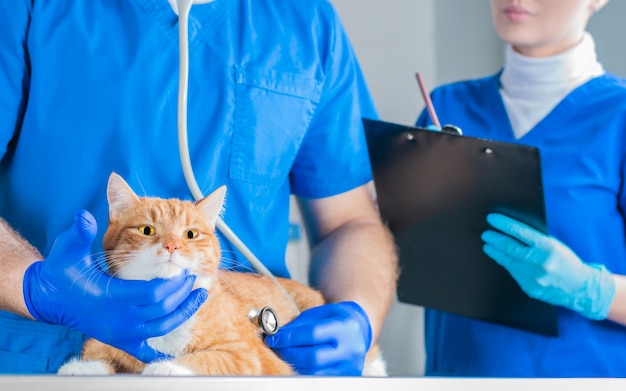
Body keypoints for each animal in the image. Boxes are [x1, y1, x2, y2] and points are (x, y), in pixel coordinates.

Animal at [58, 174, 382, 376]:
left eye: (190, 234)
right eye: (146, 230)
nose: (172, 245)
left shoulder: (247, 355)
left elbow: (209, 358)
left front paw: (170, 366)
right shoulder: (112, 330)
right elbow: (99, 352)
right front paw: (82, 367)